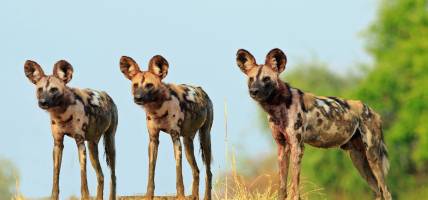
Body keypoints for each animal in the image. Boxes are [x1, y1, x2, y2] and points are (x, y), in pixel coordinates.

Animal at [25, 60, 118, 200]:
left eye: (53, 89)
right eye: (40, 89)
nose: (43, 102)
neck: (61, 114)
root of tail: (107, 95)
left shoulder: (80, 142)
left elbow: (83, 178)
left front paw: (85, 196)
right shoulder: (58, 144)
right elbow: (56, 175)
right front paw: (53, 196)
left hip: (109, 142)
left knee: (113, 176)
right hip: (92, 147)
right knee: (101, 176)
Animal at [119, 54, 213, 200]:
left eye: (149, 85)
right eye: (135, 85)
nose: (137, 98)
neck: (157, 109)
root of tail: (201, 89)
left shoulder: (175, 138)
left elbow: (178, 174)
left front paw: (180, 196)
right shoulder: (153, 140)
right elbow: (151, 171)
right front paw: (148, 196)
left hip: (205, 138)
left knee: (208, 172)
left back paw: (206, 196)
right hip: (187, 143)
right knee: (196, 171)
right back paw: (194, 196)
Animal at [236, 48, 392, 200]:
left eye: (266, 79)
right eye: (251, 79)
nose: (254, 91)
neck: (277, 106)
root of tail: (371, 110)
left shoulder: (297, 146)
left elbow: (295, 187)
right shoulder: (282, 147)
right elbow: (282, 187)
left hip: (372, 156)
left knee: (386, 192)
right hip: (358, 158)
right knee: (378, 192)